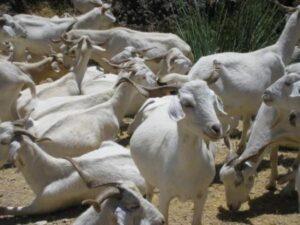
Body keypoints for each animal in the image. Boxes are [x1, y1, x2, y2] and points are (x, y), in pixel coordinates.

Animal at [130, 80, 226, 224]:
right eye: (187, 103)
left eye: (213, 100)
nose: (216, 128)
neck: (186, 170)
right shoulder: (165, 195)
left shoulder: (202, 194)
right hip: (148, 178)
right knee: (149, 195)